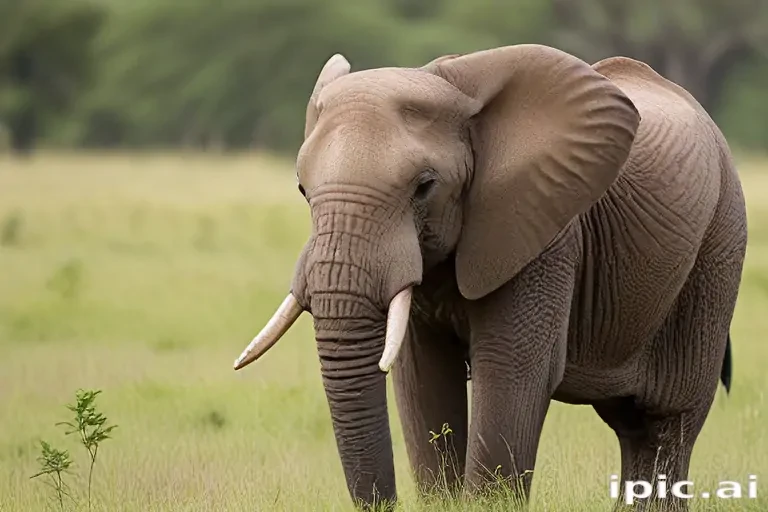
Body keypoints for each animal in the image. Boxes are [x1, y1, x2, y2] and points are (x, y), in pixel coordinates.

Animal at [233, 44, 747, 511]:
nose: (384, 502)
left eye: (424, 187)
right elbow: (422, 374)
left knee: (667, 419)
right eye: (303, 189)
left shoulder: (543, 231)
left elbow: (510, 369)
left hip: (719, 246)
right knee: (632, 425)